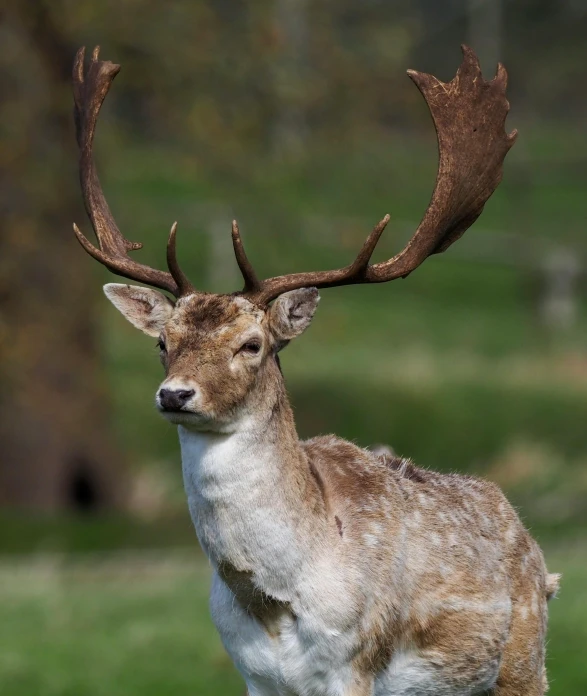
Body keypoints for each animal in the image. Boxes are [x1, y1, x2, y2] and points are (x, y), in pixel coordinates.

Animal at [72, 46, 560, 696]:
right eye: (162, 342)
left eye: (251, 345)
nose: (175, 395)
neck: (273, 601)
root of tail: (538, 556)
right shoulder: (252, 671)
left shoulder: (353, 663)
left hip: (524, 661)